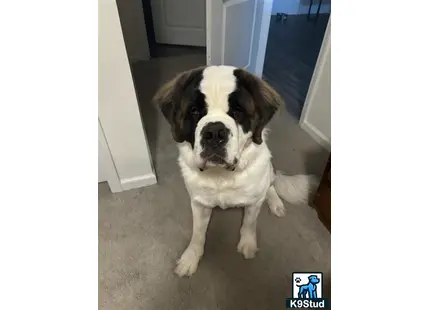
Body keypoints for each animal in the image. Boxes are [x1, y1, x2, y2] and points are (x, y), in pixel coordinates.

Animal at [153, 65, 314, 276]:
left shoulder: (254, 202)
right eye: (195, 111)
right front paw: (191, 257)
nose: (214, 132)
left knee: (270, 185)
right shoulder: (199, 203)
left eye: (237, 111)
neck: (221, 176)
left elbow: (249, 223)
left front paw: (248, 244)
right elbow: (198, 232)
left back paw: (276, 203)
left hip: (268, 170)